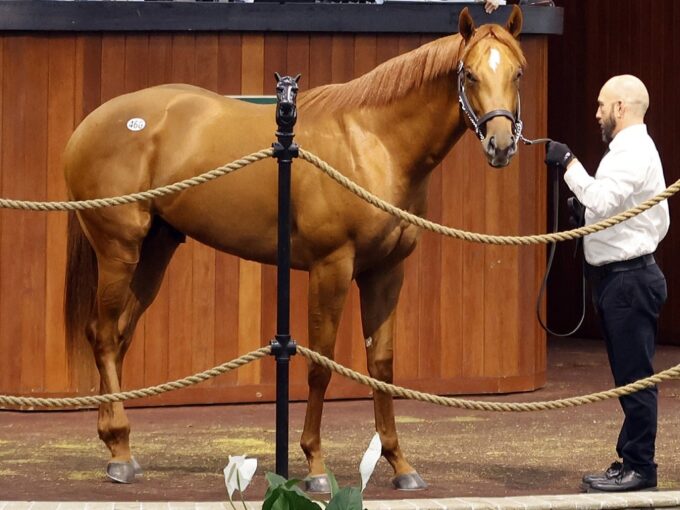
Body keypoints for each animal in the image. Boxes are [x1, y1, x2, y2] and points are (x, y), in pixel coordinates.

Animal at [63, 5, 524, 488]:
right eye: (469, 74)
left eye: (518, 73)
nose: (500, 144)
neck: (372, 141)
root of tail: (90, 124)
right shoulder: (331, 267)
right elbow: (320, 364)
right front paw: (315, 465)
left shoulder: (385, 271)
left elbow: (382, 365)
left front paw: (400, 464)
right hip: (119, 250)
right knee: (103, 335)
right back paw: (118, 450)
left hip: (155, 250)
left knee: (119, 334)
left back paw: (117, 443)